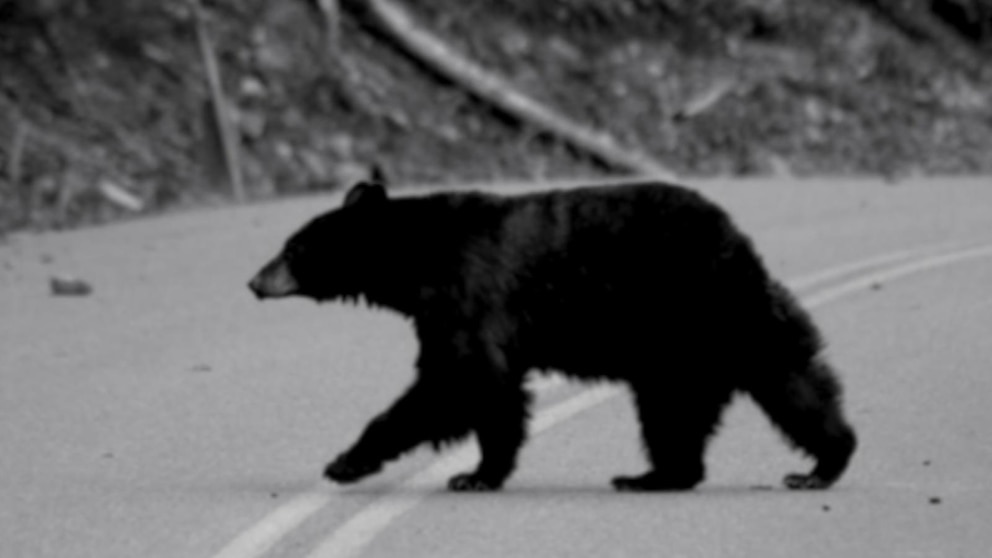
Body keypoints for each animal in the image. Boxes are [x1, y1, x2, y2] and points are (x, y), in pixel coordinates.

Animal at [248, 180, 856, 492]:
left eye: (293, 249)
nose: (254, 281)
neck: (419, 258)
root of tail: (738, 242)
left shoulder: (469, 295)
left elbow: (459, 381)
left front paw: (354, 462)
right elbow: (486, 389)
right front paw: (482, 471)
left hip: (701, 314)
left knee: (758, 387)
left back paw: (817, 465)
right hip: (706, 335)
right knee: (764, 387)